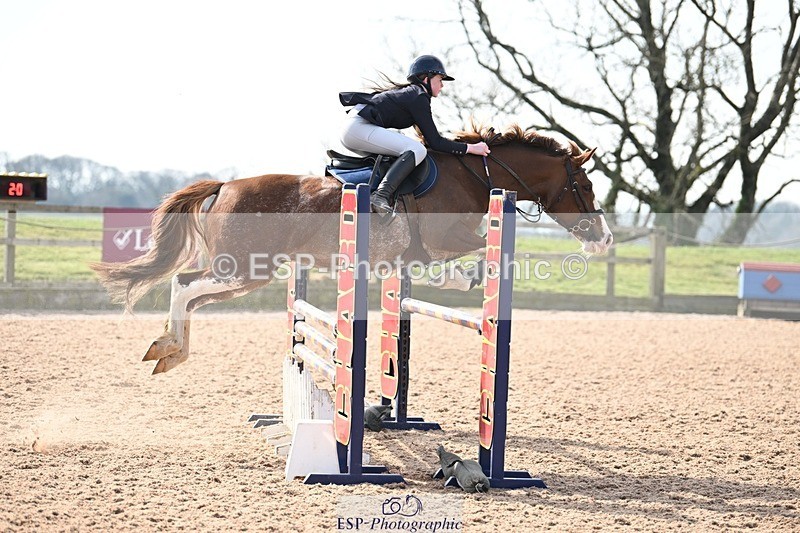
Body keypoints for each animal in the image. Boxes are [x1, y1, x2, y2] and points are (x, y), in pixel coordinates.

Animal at [91, 124, 613, 374]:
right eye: (585, 185)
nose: (605, 238)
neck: (474, 176)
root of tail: (225, 186)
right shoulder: (444, 239)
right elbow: (479, 247)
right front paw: (464, 278)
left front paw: (457, 279)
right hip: (241, 268)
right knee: (183, 285)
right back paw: (171, 348)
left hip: (246, 275)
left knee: (191, 293)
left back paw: (167, 348)